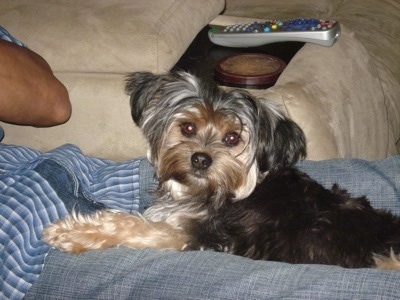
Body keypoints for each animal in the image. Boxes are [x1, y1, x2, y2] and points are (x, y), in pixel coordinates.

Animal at [43, 71, 400, 270]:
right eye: (187, 127)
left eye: (232, 138)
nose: (200, 159)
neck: (215, 192)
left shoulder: (192, 235)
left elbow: (132, 225)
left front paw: (71, 232)